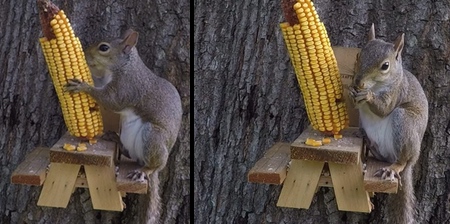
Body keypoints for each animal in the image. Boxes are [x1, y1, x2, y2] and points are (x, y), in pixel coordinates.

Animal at [65, 28, 181, 223]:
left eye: (104, 48)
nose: (85, 54)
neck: (125, 66)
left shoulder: (127, 88)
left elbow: (111, 101)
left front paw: (83, 86)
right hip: (129, 136)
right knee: (129, 153)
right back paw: (115, 138)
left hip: (153, 136)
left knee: (154, 165)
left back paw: (145, 170)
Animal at [348, 23, 428, 223]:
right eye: (359, 55)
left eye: (385, 66)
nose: (358, 82)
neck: (376, 86)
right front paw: (351, 91)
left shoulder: (396, 93)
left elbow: (384, 108)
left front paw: (367, 96)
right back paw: (366, 140)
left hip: (404, 124)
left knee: (402, 161)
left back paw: (394, 168)